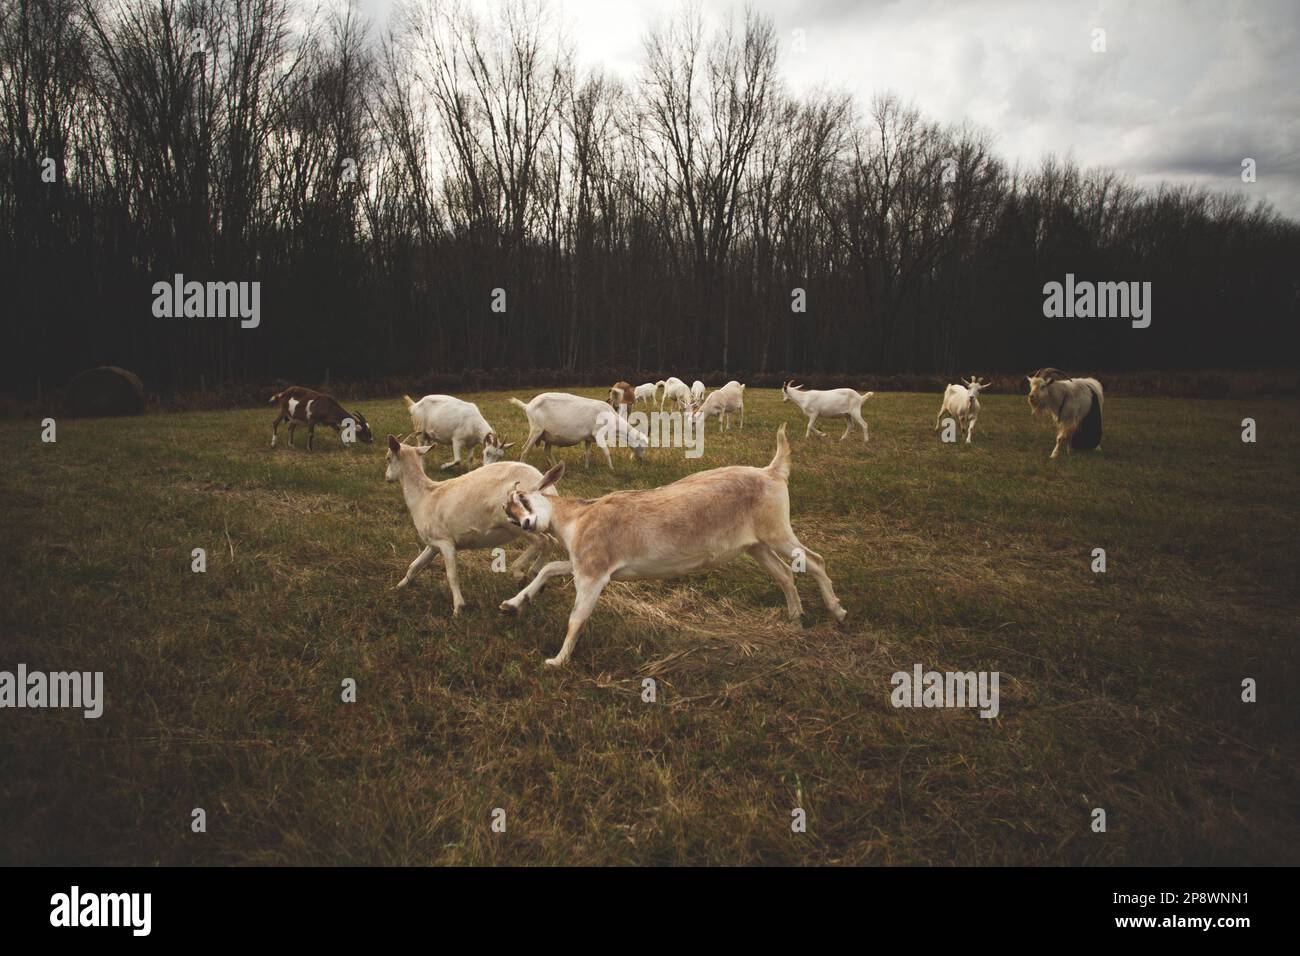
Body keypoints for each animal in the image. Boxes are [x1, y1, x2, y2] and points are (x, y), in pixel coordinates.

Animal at [385, 435, 554, 616]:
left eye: (388, 458)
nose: (387, 477)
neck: (424, 496)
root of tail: (544, 485)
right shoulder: (433, 544)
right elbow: (414, 566)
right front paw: (397, 587)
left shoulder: (446, 542)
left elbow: (452, 575)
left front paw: (458, 608)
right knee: (551, 541)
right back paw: (535, 576)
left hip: (514, 522)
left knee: (542, 541)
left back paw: (520, 574)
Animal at [500, 425, 846, 667]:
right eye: (509, 513)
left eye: (523, 498)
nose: (527, 524)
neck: (578, 518)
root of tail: (772, 472)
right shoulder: (583, 562)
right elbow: (548, 568)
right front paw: (512, 604)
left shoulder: (593, 572)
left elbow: (576, 618)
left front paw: (557, 661)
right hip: (755, 545)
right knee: (784, 573)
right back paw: (796, 619)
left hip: (777, 530)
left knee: (815, 560)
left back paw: (838, 611)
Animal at [510, 392, 649, 469]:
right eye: (643, 445)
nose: (641, 460)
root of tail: (527, 406)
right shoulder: (598, 434)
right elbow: (606, 452)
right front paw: (611, 468)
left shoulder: (588, 438)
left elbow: (588, 453)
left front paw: (587, 468)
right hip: (536, 429)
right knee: (525, 449)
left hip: (548, 435)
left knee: (547, 451)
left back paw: (556, 468)